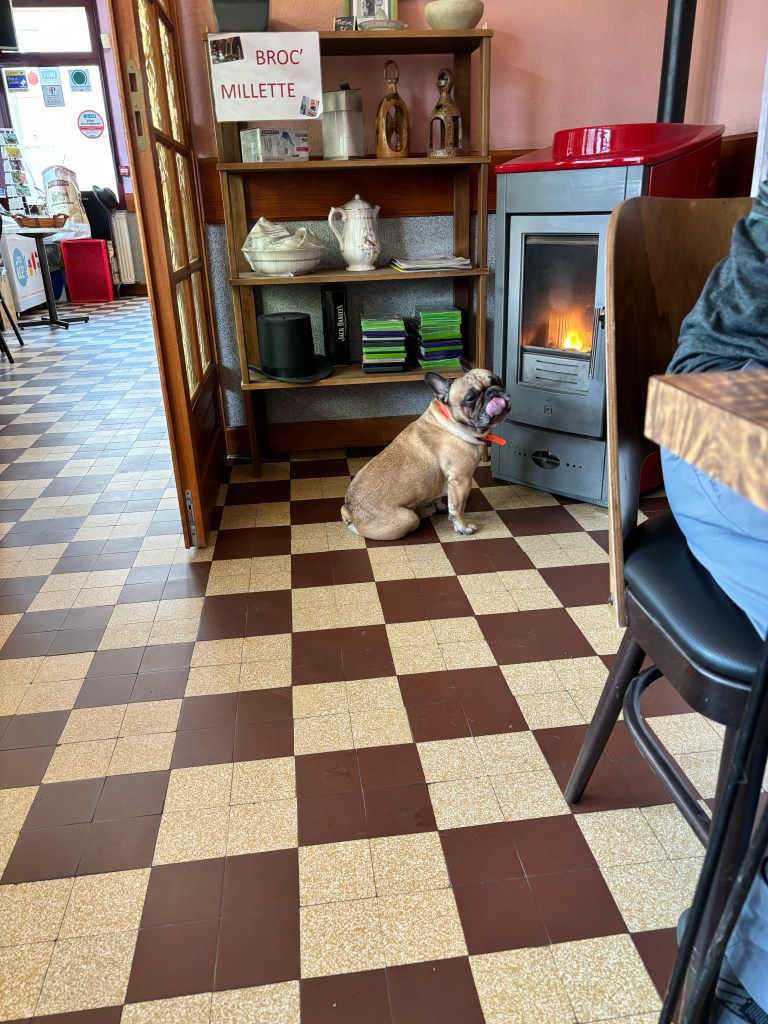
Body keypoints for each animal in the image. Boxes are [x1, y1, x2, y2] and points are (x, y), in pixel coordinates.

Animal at [341, 362, 510, 540]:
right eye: (470, 399)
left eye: (498, 380)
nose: (493, 393)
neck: (451, 421)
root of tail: (349, 512)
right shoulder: (461, 480)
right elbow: (458, 508)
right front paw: (463, 527)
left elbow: (442, 497)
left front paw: (440, 505)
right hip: (408, 519)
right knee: (414, 518)